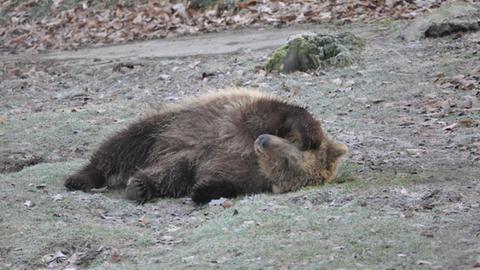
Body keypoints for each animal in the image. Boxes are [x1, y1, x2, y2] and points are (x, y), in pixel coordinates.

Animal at [65, 89, 346, 204]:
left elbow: (220, 181)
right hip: (170, 126)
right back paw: (82, 177)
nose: (263, 141)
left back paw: (141, 186)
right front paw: (310, 132)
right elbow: (283, 112)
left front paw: (202, 190)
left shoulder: (243, 173)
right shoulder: (245, 119)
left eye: (286, 161)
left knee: (171, 173)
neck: (252, 156)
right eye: (293, 144)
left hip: (183, 152)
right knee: (124, 143)